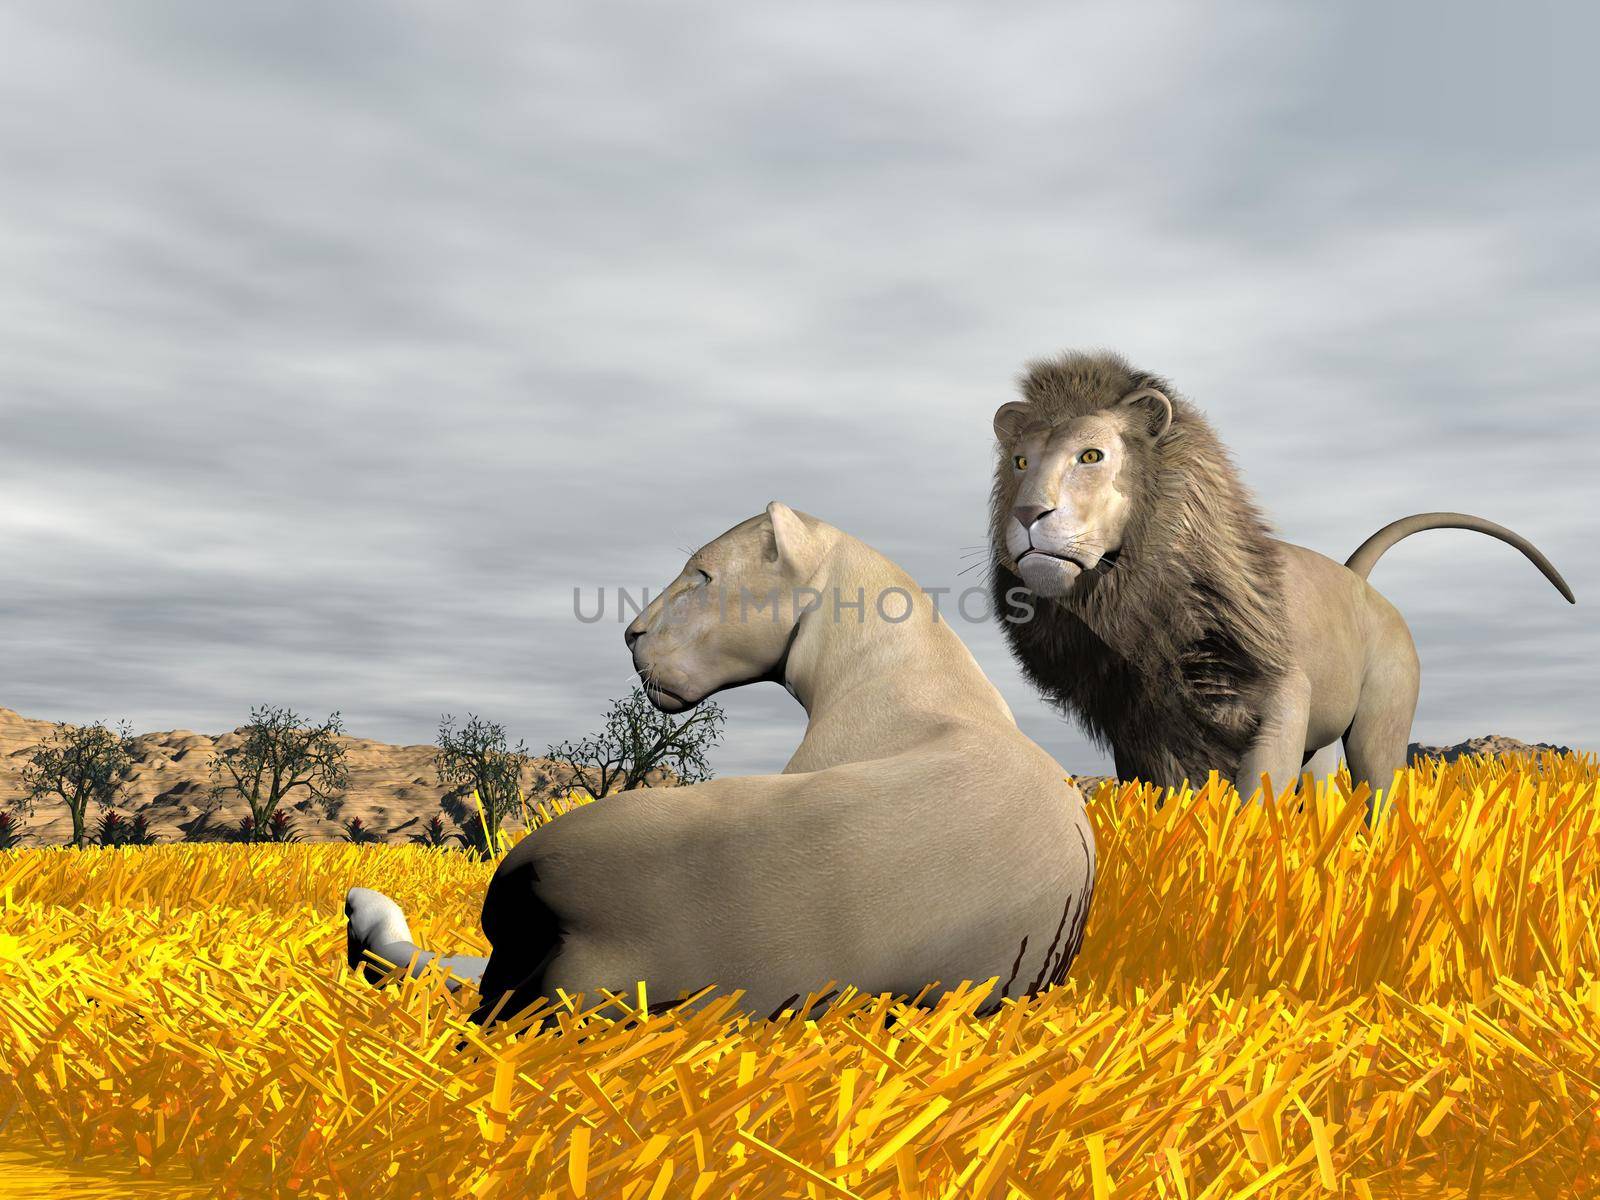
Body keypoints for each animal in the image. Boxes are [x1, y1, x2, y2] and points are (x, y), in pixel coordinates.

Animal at [985, 356, 1574, 809]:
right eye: (1020, 461)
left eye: (1091, 456)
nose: (1028, 514)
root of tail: (1356, 579)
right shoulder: (1141, 725)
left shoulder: (1282, 698)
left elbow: (1254, 799)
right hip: (1324, 744)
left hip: (1380, 720)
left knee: (1379, 792)